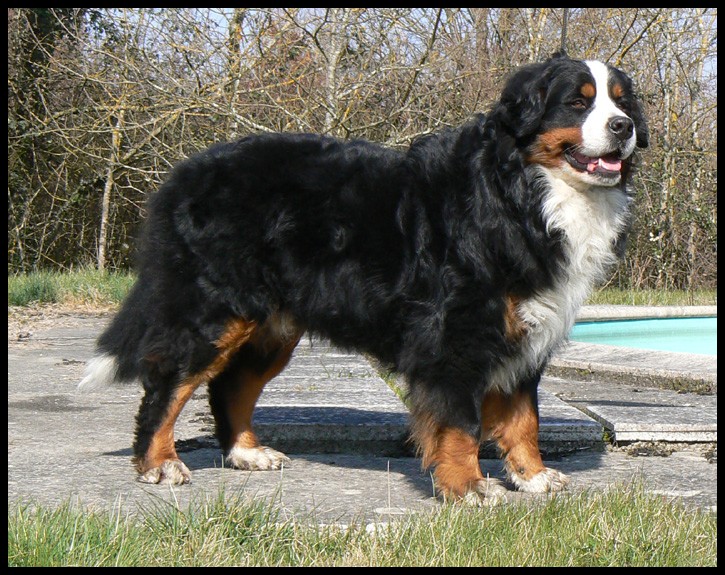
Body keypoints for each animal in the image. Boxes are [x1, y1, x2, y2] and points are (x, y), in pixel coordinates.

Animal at [81, 53, 648, 502]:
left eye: (621, 102)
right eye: (578, 103)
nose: (624, 127)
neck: (525, 193)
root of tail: (185, 173)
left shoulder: (527, 331)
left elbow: (523, 416)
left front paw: (532, 477)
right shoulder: (457, 335)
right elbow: (461, 421)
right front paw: (467, 487)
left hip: (271, 328)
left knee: (230, 386)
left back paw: (247, 454)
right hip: (215, 312)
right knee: (168, 386)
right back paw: (159, 463)